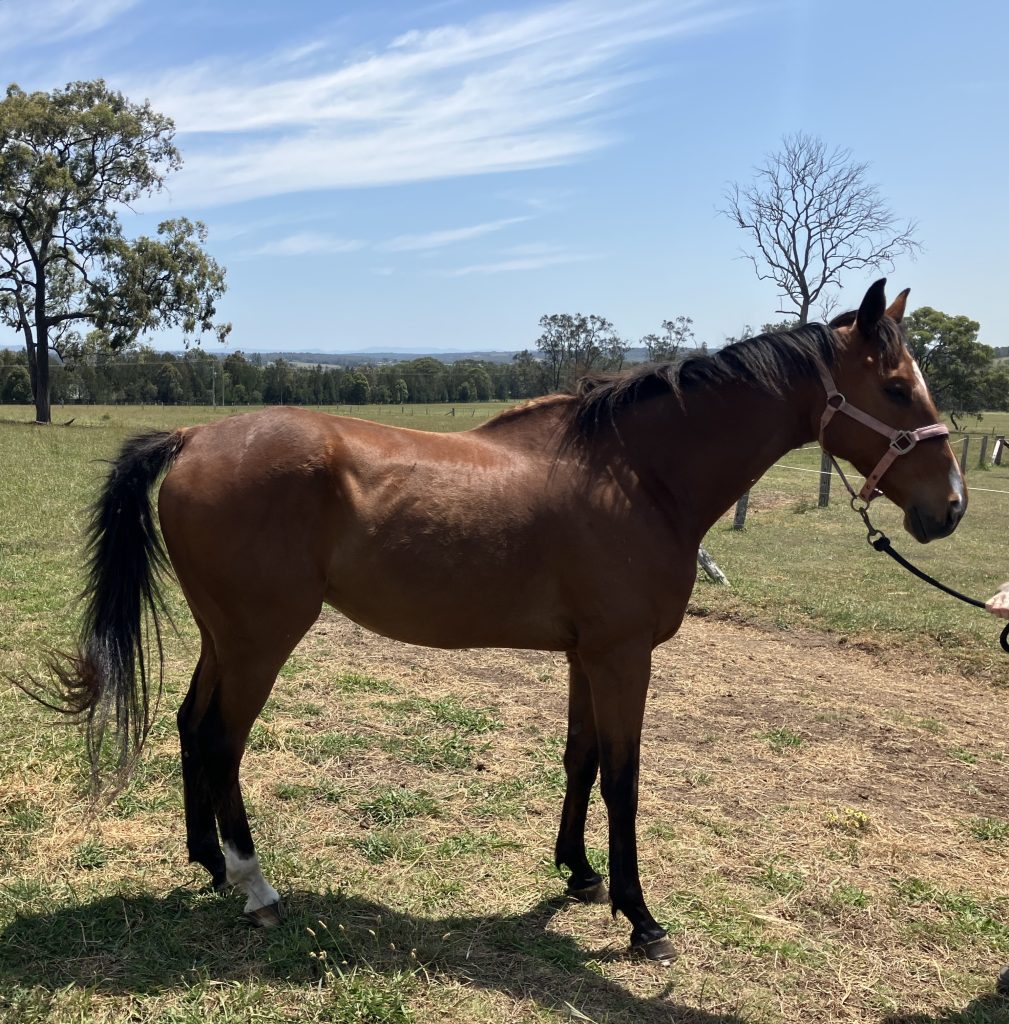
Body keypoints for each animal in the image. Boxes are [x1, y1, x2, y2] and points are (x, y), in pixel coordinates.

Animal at [24, 279, 965, 964]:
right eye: (894, 387)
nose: (949, 508)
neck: (636, 474)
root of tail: (191, 436)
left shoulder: (588, 656)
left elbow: (581, 761)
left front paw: (579, 874)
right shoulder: (624, 658)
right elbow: (624, 780)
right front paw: (641, 918)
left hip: (225, 637)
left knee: (190, 725)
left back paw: (211, 865)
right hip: (261, 640)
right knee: (222, 741)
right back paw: (257, 888)